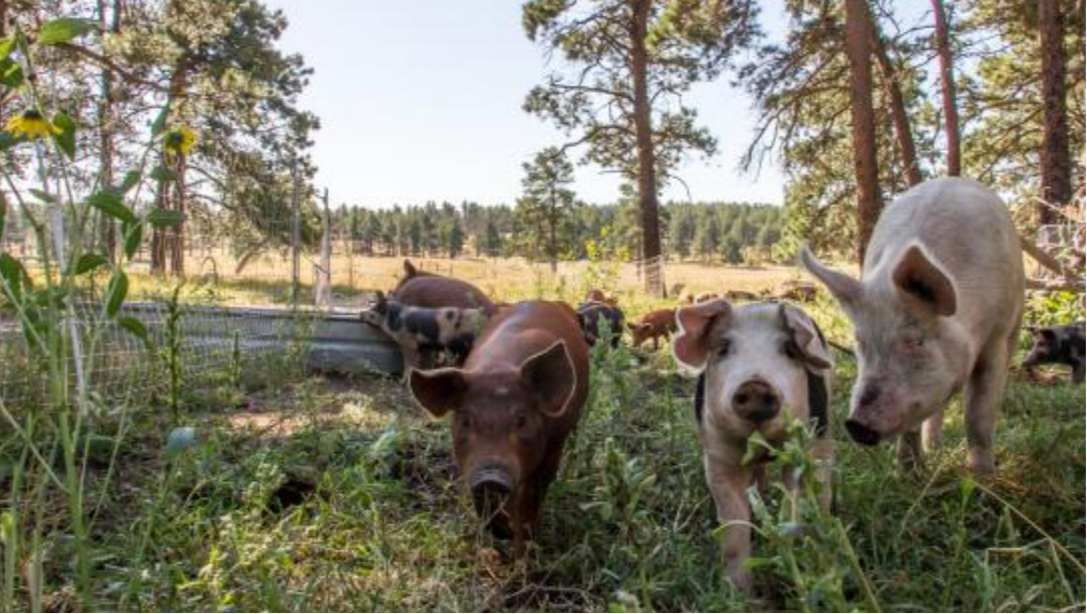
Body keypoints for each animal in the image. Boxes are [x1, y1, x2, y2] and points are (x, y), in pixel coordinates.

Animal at [669, 299, 830, 591]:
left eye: (789, 349)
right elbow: (734, 529)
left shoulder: (805, 445)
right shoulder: (718, 455)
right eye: (723, 347)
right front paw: (736, 592)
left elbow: (793, 502)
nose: (756, 385)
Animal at [804, 177, 1021, 473]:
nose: (855, 425)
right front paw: (909, 474)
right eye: (860, 343)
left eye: (914, 341)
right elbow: (913, 424)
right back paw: (934, 449)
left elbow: (978, 413)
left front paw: (982, 477)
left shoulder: (996, 334)